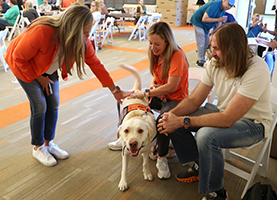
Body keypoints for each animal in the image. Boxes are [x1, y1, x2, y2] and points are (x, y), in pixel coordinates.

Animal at [116, 63, 155, 191]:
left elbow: (145, 163)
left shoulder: (147, 149)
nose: (132, 143)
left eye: (141, 130)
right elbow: (124, 169)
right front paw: (123, 182)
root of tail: (136, 90)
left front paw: (147, 173)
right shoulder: (125, 152)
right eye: (126, 130)